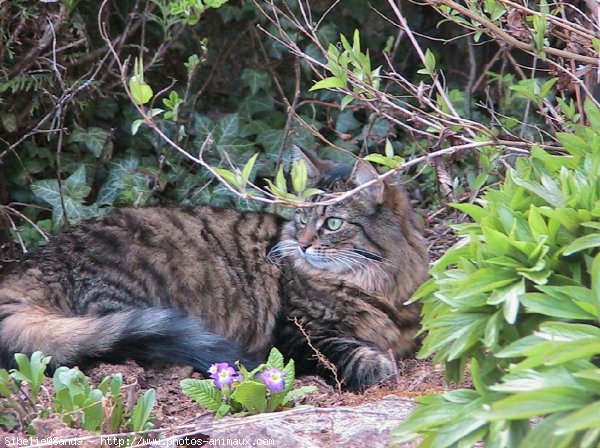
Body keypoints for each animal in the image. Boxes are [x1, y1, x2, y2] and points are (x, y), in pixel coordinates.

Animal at [1, 149, 432, 390]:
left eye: (333, 223)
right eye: (300, 217)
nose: (304, 242)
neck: (375, 285)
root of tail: (37, 262)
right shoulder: (296, 336)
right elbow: (346, 353)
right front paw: (377, 366)